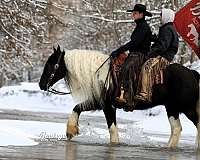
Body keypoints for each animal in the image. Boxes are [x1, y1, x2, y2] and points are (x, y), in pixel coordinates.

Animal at [39, 45, 200, 149]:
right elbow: (77, 107)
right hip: (173, 108)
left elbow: (112, 129)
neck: (99, 74)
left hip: (183, 108)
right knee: (177, 128)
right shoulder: (99, 102)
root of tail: (192, 73)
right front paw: (71, 130)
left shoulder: (108, 106)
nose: (41, 84)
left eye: (51, 64)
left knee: (187, 126)